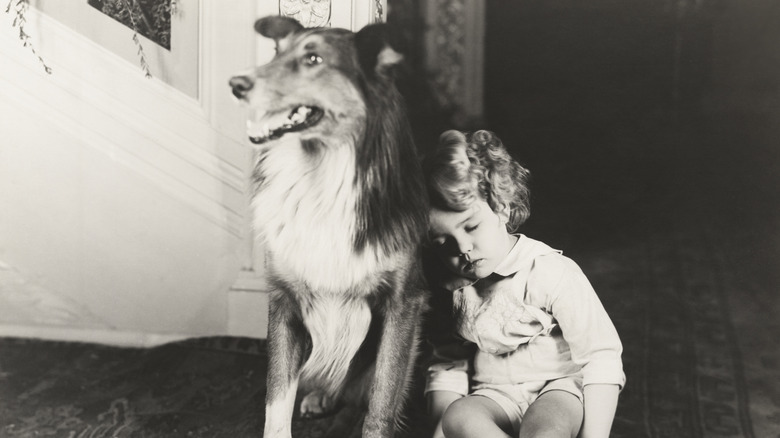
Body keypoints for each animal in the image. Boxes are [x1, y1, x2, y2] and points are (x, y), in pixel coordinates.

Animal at [229, 15, 430, 436]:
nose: (236, 84)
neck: (321, 177)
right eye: (277, 53)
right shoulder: (284, 301)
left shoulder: (404, 302)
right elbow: (277, 400)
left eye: (314, 59)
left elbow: (382, 401)